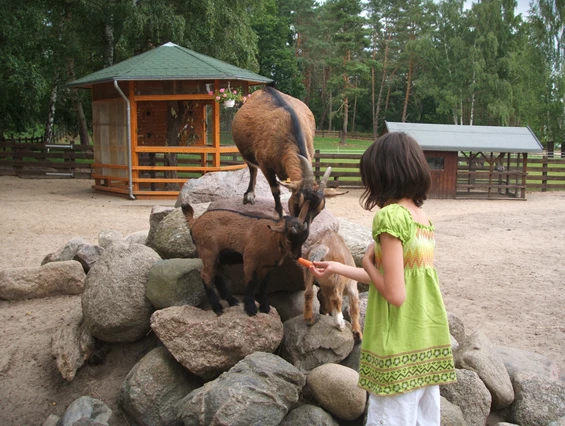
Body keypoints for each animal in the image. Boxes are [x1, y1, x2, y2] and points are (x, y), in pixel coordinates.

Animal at [232, 87, 330, 226]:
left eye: (321, 208)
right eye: (297, 201)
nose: (302, 228)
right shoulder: (265, 165)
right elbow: (275, 189)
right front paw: (280, 213)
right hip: (245, 153)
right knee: (252, 169)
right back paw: (249, 195)